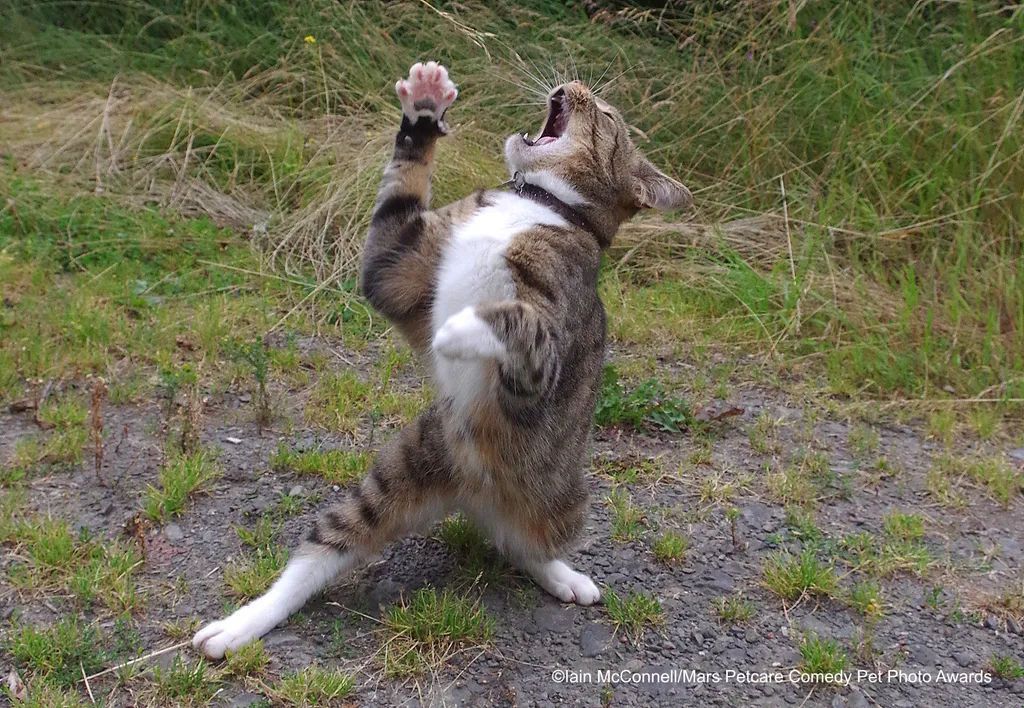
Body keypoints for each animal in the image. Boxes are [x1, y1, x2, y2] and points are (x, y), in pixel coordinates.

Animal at [193, 59, 688, 659]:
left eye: (608, 116)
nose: (574, 84)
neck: (538, 205)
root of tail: (470, 494)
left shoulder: (546, 357)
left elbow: (517, 321)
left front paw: (455, 331)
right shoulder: (397, 270)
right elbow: (393, 221)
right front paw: (424, 110)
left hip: (564, 501)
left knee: (526, 545)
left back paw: (564, 577)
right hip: (405, 462)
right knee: (325, 549)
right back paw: (239, 625)